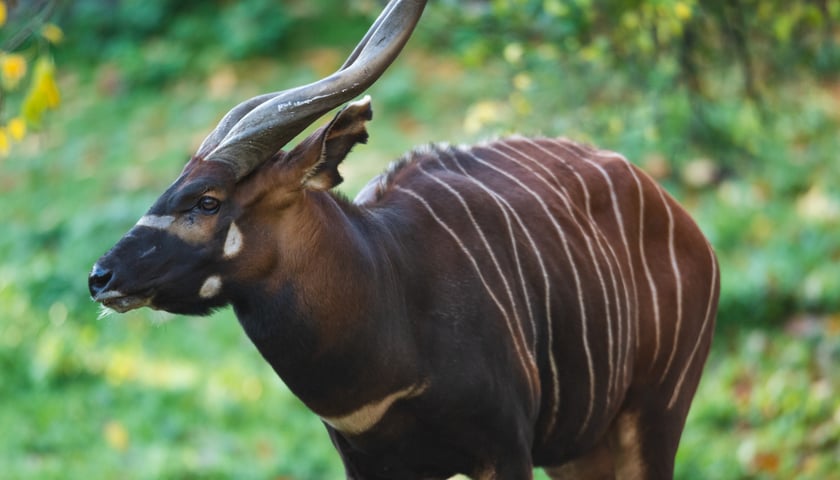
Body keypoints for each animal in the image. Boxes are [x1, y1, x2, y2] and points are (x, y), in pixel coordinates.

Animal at [92, 1, 720, 478]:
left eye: (207, 200)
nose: (101, 277)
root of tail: (684, 221)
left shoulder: (506, 449)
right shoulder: (373, 466)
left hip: (655, 414)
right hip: (582, 446)